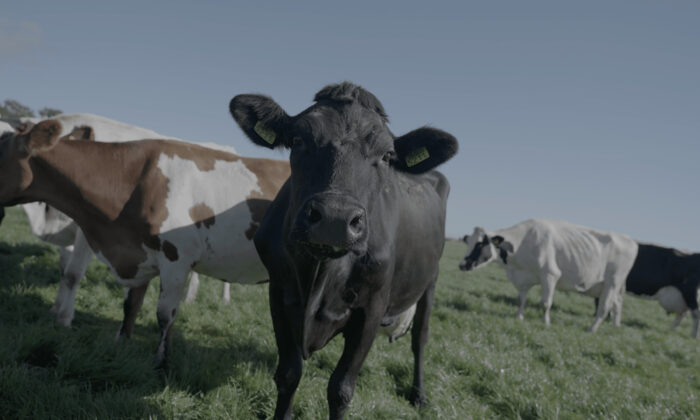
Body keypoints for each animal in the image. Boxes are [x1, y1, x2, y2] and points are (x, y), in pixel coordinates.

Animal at [0, 120, 290, 366]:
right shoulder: (137, 252)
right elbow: (131, 306)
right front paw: (121, 344)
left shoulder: (176, 257)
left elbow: (165, 314)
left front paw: (161, 362)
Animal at [231, 83, 460, 420]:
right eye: (298, 139)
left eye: (387, 155)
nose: (335, 219)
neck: (320, 273)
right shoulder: (279, 293)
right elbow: (288, 374)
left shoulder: (372, 307)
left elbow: (340, 390)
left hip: (431, 279)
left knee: (420, 338)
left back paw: (419, 394)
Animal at [460, 218, 640, 334]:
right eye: (468, 243)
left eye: (480, 244)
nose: (462, 265)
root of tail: (630, 240)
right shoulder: (523, 278)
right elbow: (521, 300)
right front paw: (519, 317)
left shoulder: (550, 274)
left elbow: (545, 303)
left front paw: (545, 323)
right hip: (611, 286)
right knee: (617, 304)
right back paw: (615, 326)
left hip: (612, 282)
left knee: (604, 308)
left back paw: (591, 329)